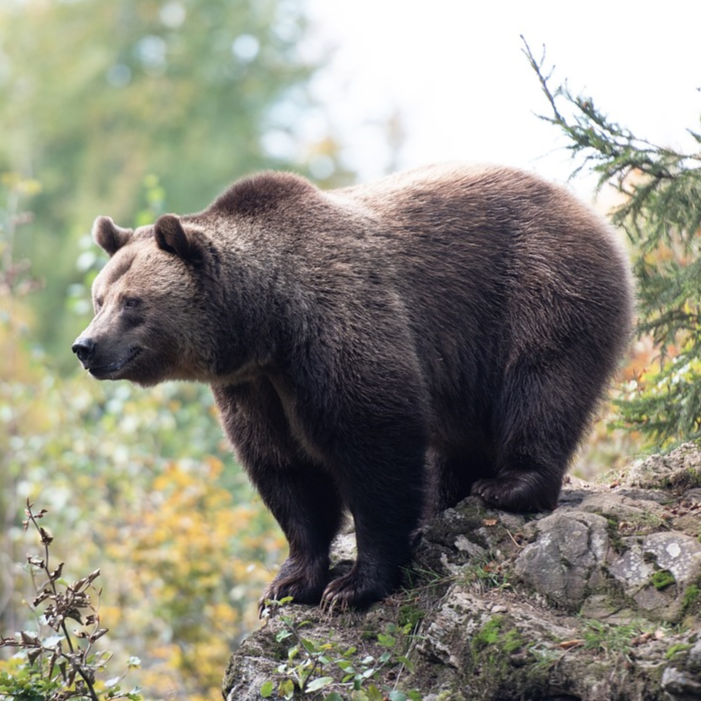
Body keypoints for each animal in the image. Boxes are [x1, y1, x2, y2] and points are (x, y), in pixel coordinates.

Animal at [72, 161, 636, 608]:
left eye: (133, 302)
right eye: (100, 298)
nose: (86, 346)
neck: (268, 325)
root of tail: (587, 207)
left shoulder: (339, 327)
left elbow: (373, 447)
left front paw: (353, 586)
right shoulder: (256, 388)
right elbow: (285, 471)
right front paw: (289, 582)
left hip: (539, 286)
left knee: (542, 385)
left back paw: (510, 485)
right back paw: (444, 499)